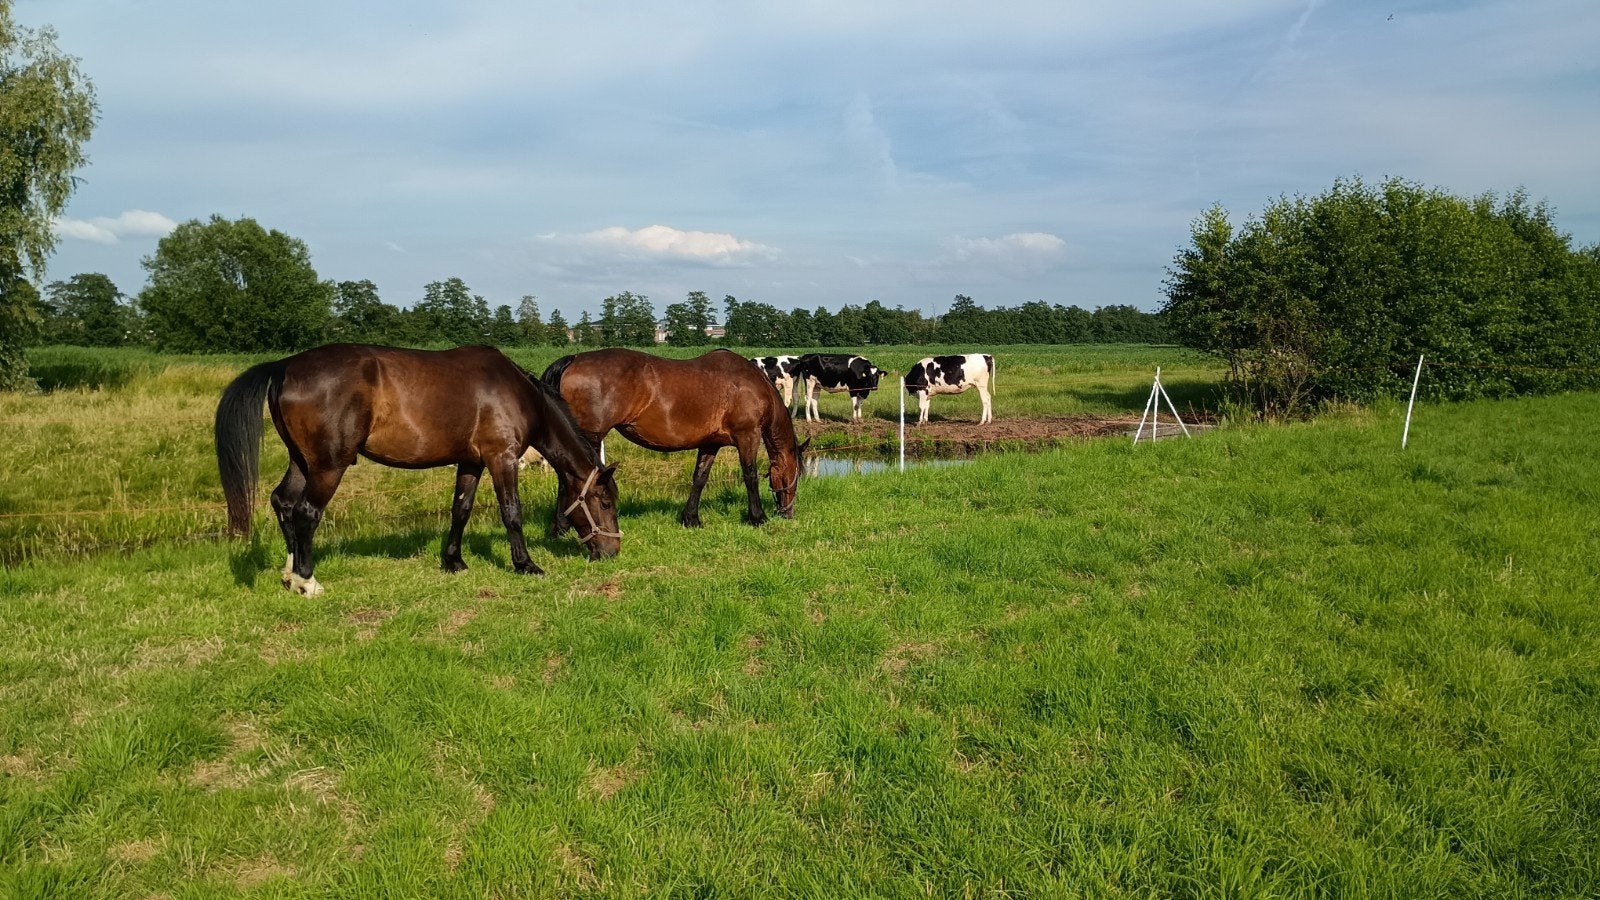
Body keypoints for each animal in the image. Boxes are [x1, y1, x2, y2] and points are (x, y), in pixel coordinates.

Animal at [214, 344, 621, 596]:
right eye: (605, 502)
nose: (612, 551)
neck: (519, 394)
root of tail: (284, 365)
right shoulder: (501, 459)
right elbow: (511, 513)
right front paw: (525, 565)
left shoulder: (471, 461)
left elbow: (461, 510)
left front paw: (454, 561)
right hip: (328, 466)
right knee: (306, 512)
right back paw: (306, 581)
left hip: (302, 461)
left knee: (282, 502)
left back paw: (289, 572)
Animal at [541, 347, 808, 529]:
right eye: (795, 474)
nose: (788, 513)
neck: (752, 385)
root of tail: (574, 359)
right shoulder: (748, 436)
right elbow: (750, 475)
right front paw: (758, 517)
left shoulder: (710, 444)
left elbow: (699, 478)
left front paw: (691, 519)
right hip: (591, 438)